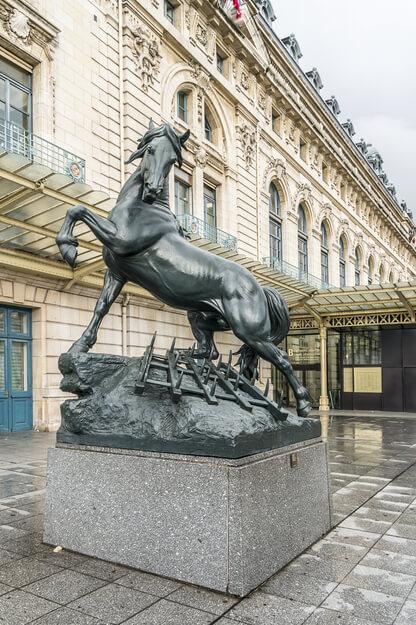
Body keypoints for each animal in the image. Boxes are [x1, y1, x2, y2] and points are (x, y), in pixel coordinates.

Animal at [57, 119, 312, 416]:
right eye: (151, 150)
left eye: (172, 160)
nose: (153, 190)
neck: (144, 207)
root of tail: (260, 287)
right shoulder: (117, 273)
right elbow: (101, 307)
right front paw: (81, 345)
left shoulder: (120, 239)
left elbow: (77, 209)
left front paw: (68, 247)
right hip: (201, 316)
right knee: (210, 351)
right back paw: (187, 360)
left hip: (250, 331)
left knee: (281, 358)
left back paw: (303, 405)